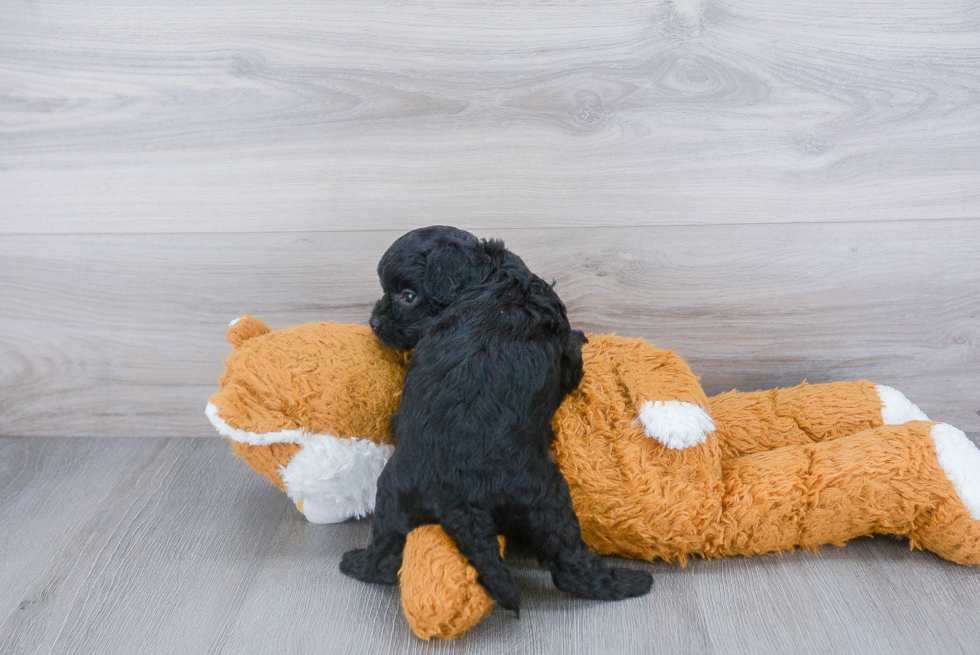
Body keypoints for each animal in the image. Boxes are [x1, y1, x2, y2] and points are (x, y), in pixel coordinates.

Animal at [340, 226, 656, 616]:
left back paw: (356, 563)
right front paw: (581, 341)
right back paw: (629, 582)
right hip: (545, 499)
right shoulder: (563, 350)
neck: (490, 279)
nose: (373, 323)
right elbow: (573, 356)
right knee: (569, 565)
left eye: (408, 296)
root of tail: (455, 497)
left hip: (392, 496)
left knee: (385, 554)